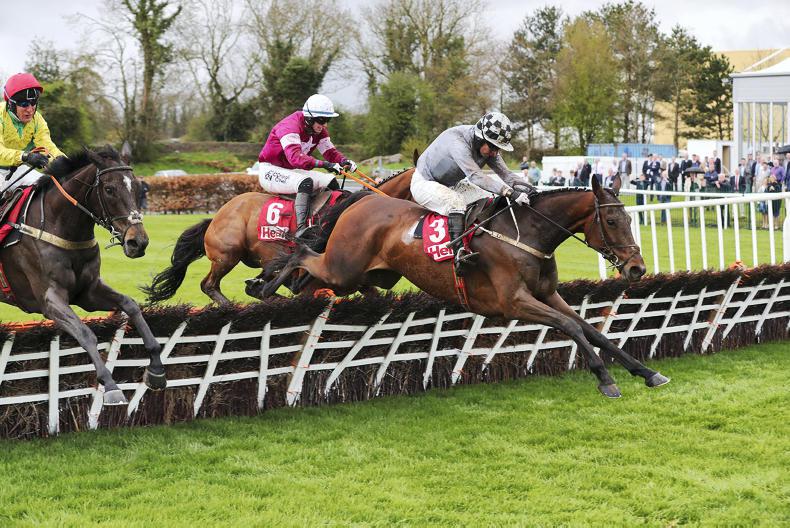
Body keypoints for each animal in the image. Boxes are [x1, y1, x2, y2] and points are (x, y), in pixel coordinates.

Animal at [0, 147, 166, 405]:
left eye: (138, 188)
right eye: (109, 189)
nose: (138, 242)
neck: (60, 227)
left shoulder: (88, 292)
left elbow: (130, 305)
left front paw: (156, 368)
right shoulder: (49, 299)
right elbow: (85, 333)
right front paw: (110, 385)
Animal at [259, 175, 670, 398]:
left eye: (629, 218)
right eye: (613, 221)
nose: (637, 267)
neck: (526, 235)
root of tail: (362, 199)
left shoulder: (547, 294)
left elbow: (592, 329)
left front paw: (646, 372)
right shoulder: (513, 302)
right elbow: (571, 327)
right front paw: (605, 379)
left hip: (367, 275)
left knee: (309, 270)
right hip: (342, 270)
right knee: (302, 255)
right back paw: (264, 285)